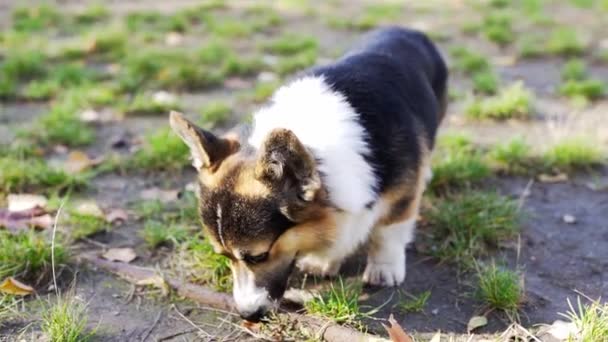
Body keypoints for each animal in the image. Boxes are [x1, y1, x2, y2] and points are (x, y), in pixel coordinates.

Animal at [169, 27, 448, 324]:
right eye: (223, 256)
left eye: (259, 256)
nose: (248, 315)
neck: (315, 148)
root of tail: (406, 30)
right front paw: (322, 260)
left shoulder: (400, 193)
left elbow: (388, 231)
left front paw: (384, 268)